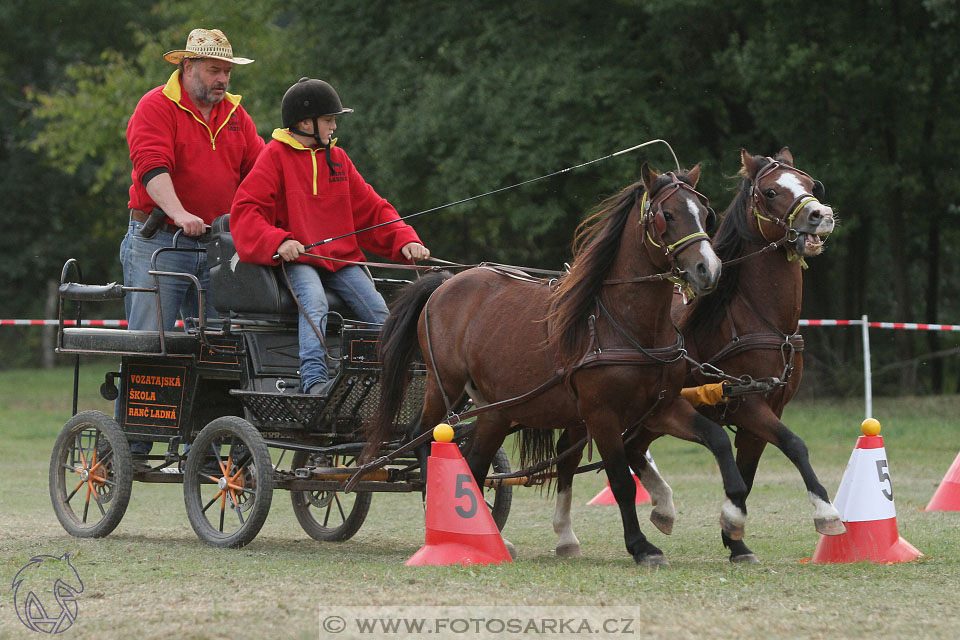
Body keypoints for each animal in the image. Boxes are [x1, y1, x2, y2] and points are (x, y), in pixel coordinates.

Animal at [364, 164, 748, 564]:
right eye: (667, 215)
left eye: (705, 213)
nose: (708, 269)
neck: (621, 323)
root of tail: (443, 283)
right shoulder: (601, 414)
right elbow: (620, 480)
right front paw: (641, 546)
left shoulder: (662, 406)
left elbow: (718, 440)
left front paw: (730, 517)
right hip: (445, 388)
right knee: (422, 436)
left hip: (494, 410)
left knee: (473, 462)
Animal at [548, 148, 840, 564]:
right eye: (770, 192)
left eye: (810, 184)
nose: (820, 214)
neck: (759, 317)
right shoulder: (747, 403)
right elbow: (792, 444)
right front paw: (822, 513)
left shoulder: (771, 405)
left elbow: (757, 467)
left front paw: (736, 539)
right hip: (590, 409)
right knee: (567, 456)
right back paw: (566, 535)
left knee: (632, 449)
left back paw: (662, 509)